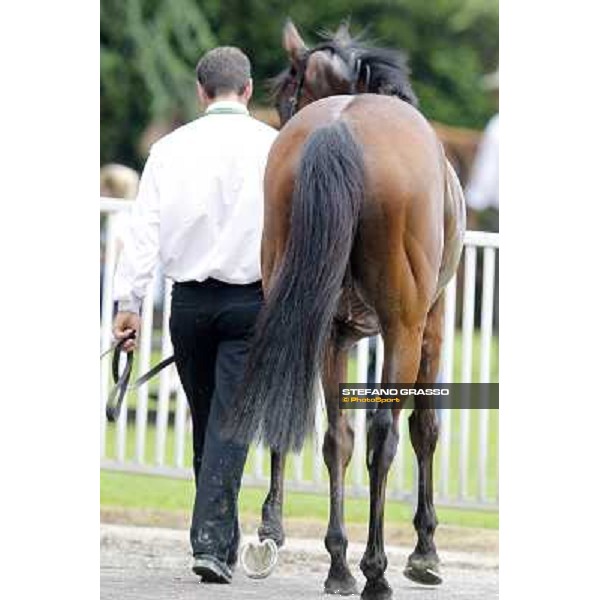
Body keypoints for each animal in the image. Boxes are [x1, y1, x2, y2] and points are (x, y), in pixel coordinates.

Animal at [225, 21, 464, 596]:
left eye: (284, 97)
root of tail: (341, 129)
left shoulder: (339, 331)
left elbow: (337, 436)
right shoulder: (431, 327)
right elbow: (425, 428)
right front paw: (425, 552)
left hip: (312, 319)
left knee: (334, 435)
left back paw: (336, 564)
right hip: (401, 328)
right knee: (383, 435)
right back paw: (374, 569)